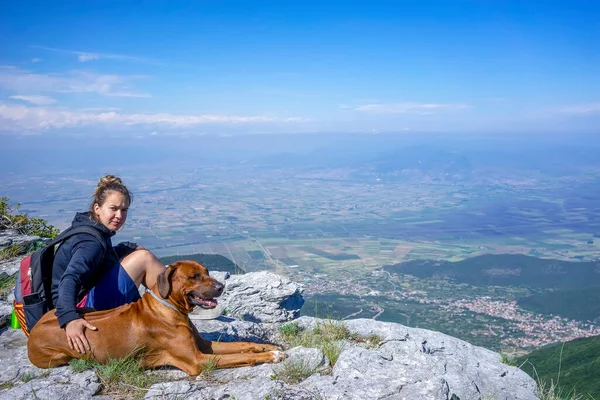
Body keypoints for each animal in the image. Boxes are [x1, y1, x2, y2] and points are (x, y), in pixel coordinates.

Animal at [25, 260, 284, 376]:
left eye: (207, 272)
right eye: (194, 276)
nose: (221, 286)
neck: (168, 308)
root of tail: (33, 331)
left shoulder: (204, 346)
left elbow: (242, 344)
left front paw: (269, 347)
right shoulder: (198, 360)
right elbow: (240, 356)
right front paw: (270, 356)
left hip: (86, 310)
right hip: (59, 356)